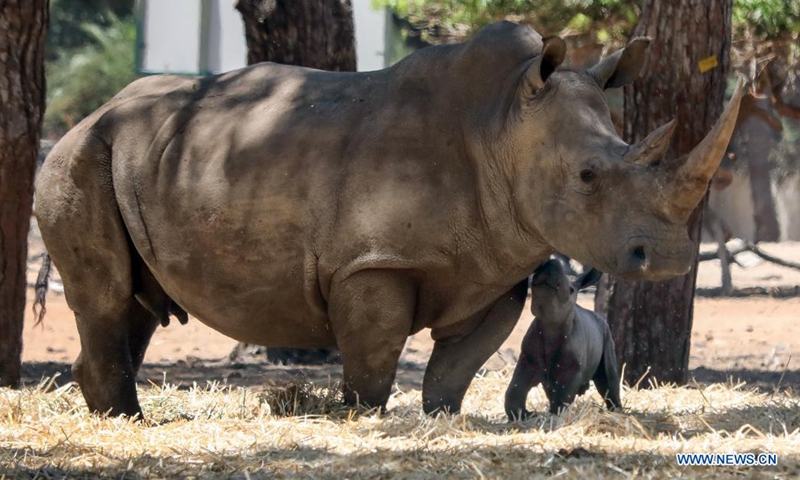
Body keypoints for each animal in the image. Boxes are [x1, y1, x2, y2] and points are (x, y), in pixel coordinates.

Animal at [505, 260, 620, 420]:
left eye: (571, 290)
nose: (551, 262)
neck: (551, 325)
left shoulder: (572, 368)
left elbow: (563, 395)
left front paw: (554, 415)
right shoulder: (528, 359)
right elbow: (515, 388)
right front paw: (526, 415)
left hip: (607, 335)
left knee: (608, 379)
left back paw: (617, 411)